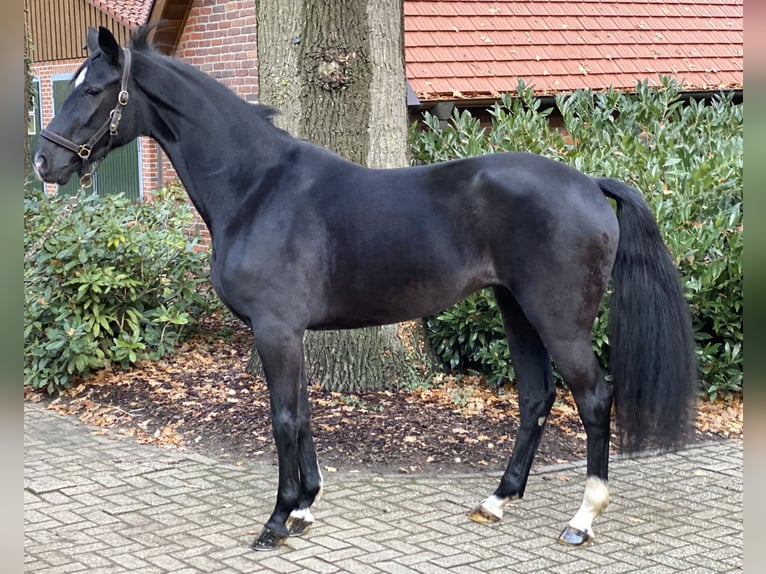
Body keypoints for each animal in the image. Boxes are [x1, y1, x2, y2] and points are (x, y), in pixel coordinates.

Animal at [33, 28, 700, 552]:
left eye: (92, 90)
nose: (45, 163)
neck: (257, 189)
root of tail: (588, 183)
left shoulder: (276, 330)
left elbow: (282, 417)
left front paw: (277, 520)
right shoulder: (289, 334)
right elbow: (302, 414)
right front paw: (304, 507)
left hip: (558, 320)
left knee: (594, 398)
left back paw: (582, 519)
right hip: (517, 310)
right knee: (536, 398)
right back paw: (497, 500)